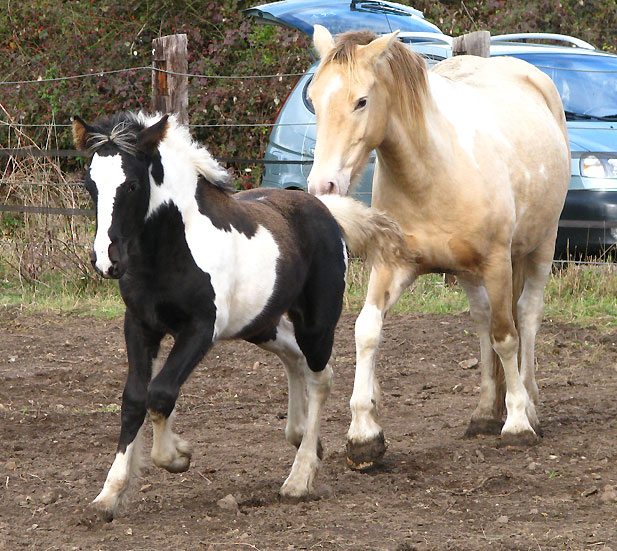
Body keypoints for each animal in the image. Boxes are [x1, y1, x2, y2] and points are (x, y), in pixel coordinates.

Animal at [71, 113, 410, 520]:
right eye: (90, 185)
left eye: (133, 184)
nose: (107, 261)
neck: (172, 248)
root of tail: (325, 209)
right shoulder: (140, 326)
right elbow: (135, 399)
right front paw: (110, 493)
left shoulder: (201, 329)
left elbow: (161, 393)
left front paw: (177, 455)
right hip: (260, 324)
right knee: (295, 359)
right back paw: (300, 437)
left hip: (315, 323)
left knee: (320, 377)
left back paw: (300, 477)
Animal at [310, 27, 572, 470]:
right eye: (312, 99)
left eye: (361, 101)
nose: (322, 186)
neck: (430, 171)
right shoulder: (392, 264)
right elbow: (367, 330)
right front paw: (364, 435)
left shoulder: (498, 263)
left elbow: (507, 335)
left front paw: (518, 422)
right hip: (468, 271)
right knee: (482, 319)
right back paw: (485, 413)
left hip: (542, 245)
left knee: (527, 316)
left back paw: (530, 404)